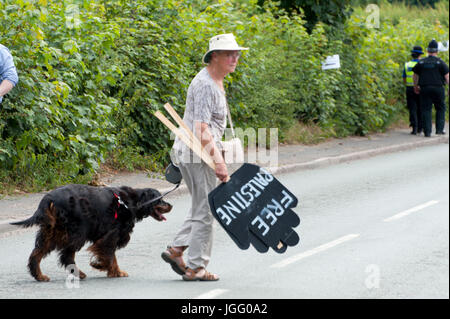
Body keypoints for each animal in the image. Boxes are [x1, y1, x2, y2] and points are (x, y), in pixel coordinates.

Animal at [11, 185, 172, 282]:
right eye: (160, 199)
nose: (170, 205)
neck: (130, 203)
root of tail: (49, 198)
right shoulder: (111, 235)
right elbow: (110, 255)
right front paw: (114, 270)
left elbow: (107, 255)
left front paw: (101, 266)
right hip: (77, 232)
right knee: (66, 256)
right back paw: (78, 273)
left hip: (51, 232)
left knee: (36, 254)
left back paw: (40, 276)